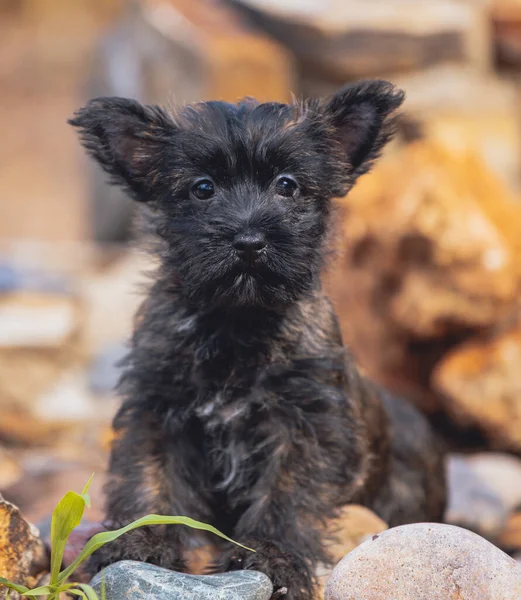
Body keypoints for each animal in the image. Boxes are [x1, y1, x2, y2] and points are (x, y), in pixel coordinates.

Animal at [68, 82, 442, 600]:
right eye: (202, 188)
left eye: (287, 185)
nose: (248, 240)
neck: (236, 324)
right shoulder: (157, 413)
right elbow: (147, 480)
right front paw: (139, 541)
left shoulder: (304, 428)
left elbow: (285, 499)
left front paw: (271, 559)